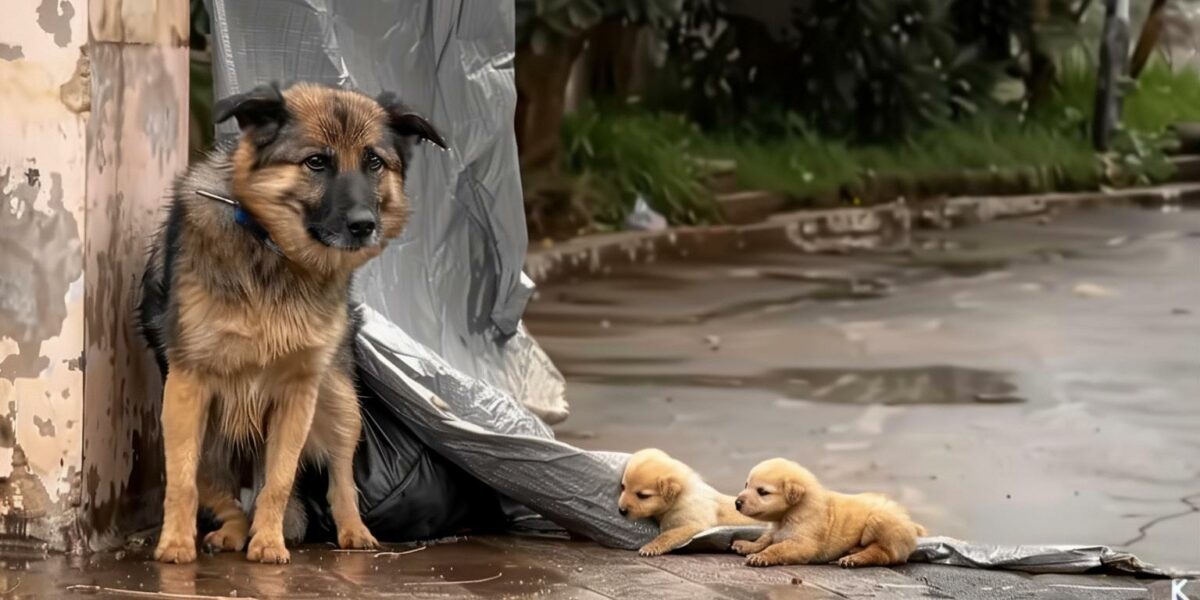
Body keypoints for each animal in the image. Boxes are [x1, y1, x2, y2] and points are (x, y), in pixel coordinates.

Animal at [137, 82, 446, 564]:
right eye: (316, 161)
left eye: (374, 162)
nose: (364, 226)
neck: (273, 251)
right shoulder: (188, 383)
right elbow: (182, 483)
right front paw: (174, 544)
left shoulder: (298, 394)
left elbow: (280, 483)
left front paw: (268, 541)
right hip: (204, 437)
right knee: (224, 497)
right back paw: (230, 533)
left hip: (341, 403)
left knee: (340, 479)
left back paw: (352, 532)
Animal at [619, 448, 758, 554]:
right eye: (623, 487)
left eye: (642, 495)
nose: (621, 510)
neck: (681, 495)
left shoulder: (692, 522)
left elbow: (669, 534)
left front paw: (650, 547)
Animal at [724, 458, 921, 566]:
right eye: (746, 485)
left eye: (762, 492)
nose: (737, 503)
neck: (792, 511)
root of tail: (912, 524)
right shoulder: (776, 528)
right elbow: (766, 538)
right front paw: (747, 545)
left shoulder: (804, 541)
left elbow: (779, 546)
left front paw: (760, 557)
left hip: (882, 520)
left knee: (883, 552)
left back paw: (855, 558)